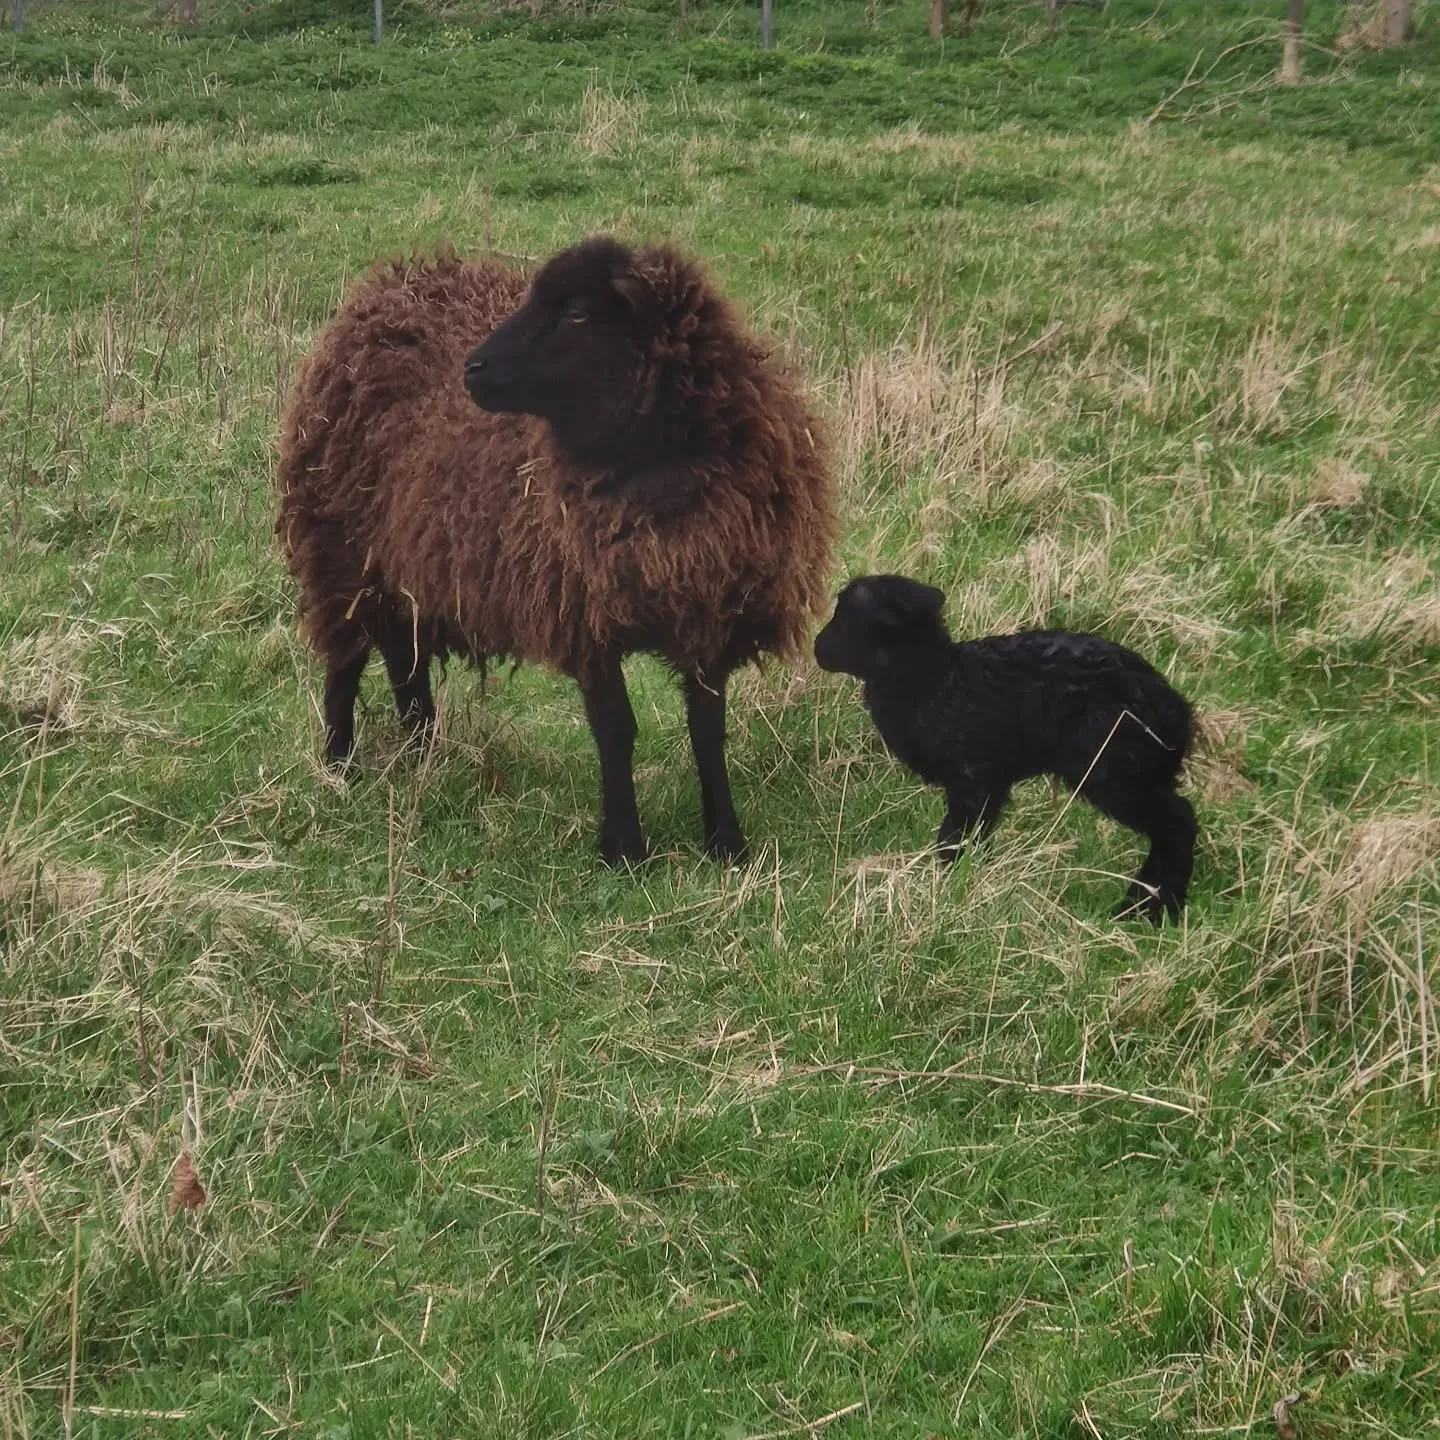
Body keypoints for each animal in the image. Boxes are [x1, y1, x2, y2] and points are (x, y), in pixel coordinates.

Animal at [277, 237, 835, 865]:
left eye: (576, 315)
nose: (472, 369)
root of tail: (384, 289)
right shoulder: (585, 614)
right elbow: (615, 730)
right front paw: (625, 849)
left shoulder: (710, 615)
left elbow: (708, 730)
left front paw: (727, 844)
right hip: (341, 549)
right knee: (346, 661)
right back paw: (339, 767)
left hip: (408, 562)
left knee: (404, 654)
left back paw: (422, 753)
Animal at [813, 574, 1197, 922]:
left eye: (847, 618)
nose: (817, 648)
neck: (932, 682)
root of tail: (1179, 715)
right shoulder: (992, 783)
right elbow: (974, 837)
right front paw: (970, 881)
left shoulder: (971, 777)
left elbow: (952, 836)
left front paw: (945, 885)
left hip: (1113, 768)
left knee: (1178, 820)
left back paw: (1150, 909)